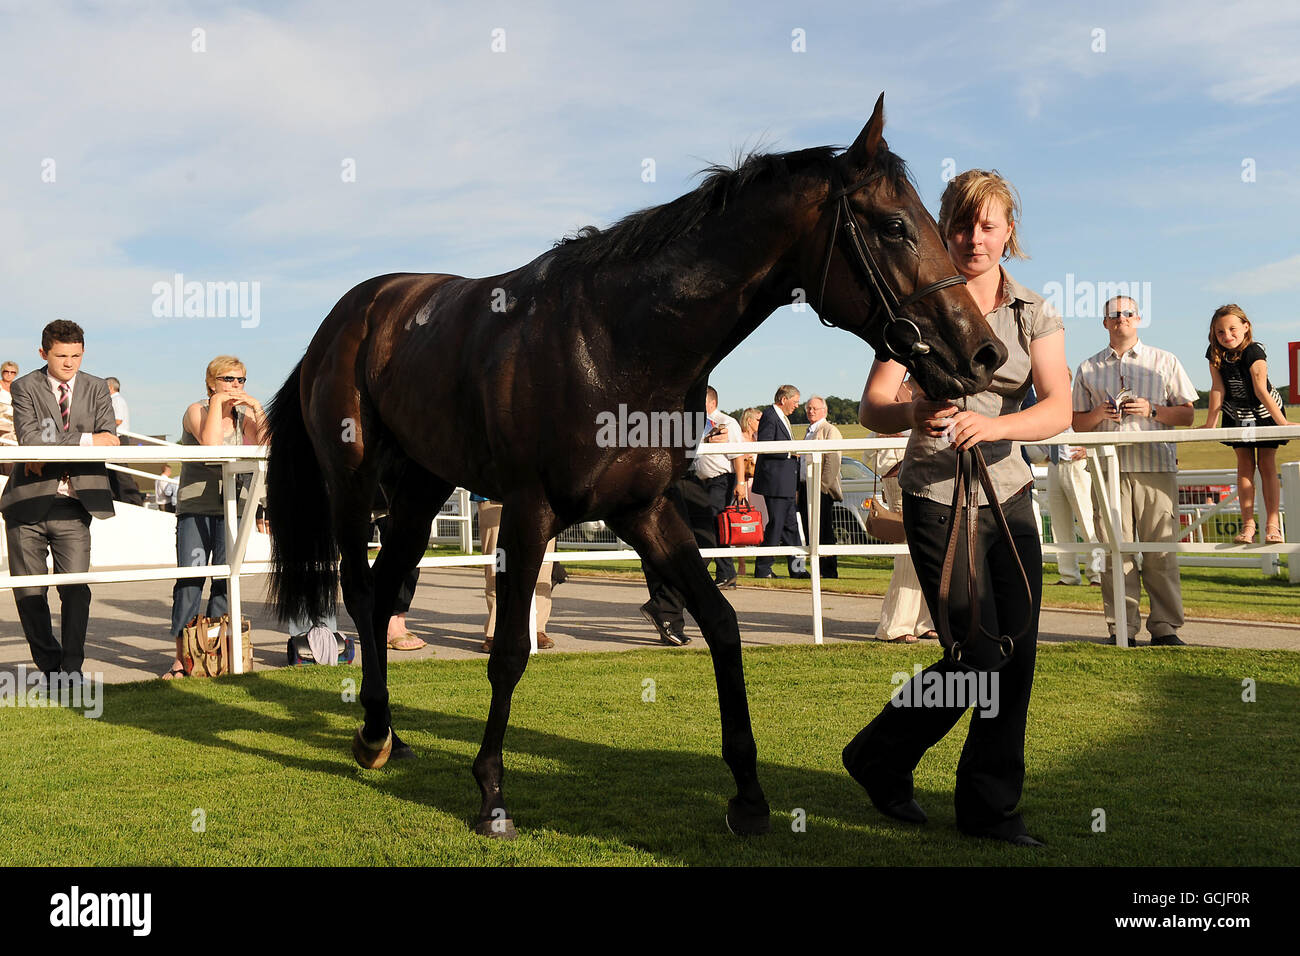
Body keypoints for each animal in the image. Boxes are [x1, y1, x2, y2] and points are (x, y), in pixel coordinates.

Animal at [266, 95, 1003, 837]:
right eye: (894, 226)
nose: (984, 355)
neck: (617, 340)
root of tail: (347, 318)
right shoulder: (530, 512)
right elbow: (509, 653)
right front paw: (492, 792)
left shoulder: (644, 510)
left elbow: (722, 625)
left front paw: (748, 795)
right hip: (353, 484)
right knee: (362, 592)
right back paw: (372, 735)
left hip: (420, 489)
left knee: (386, 587)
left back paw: (387, 733)